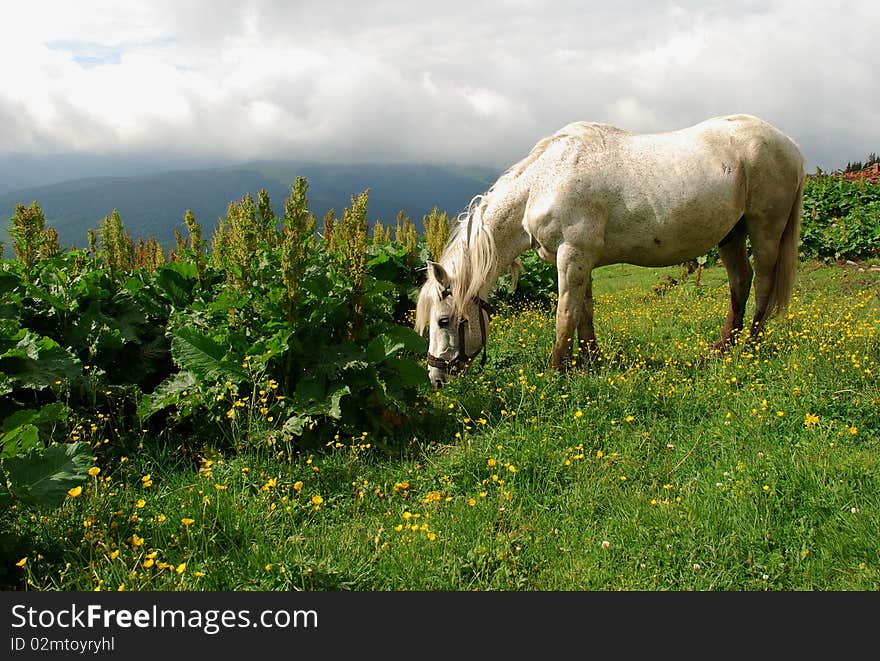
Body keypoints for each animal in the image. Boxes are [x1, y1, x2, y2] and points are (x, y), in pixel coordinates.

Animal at [416, 114, 808, 386]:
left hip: (765, 230)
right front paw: (590, 360)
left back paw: (750, 346)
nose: (435, 378)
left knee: (763, 284)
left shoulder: (572, 256)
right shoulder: (582, 260)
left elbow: (565, 314)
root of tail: (790, 144)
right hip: (731, 235)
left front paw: (558, 371)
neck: (543, 183)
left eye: (444, 320)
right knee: (740, 282)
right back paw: (722, 347)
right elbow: (585, 312)